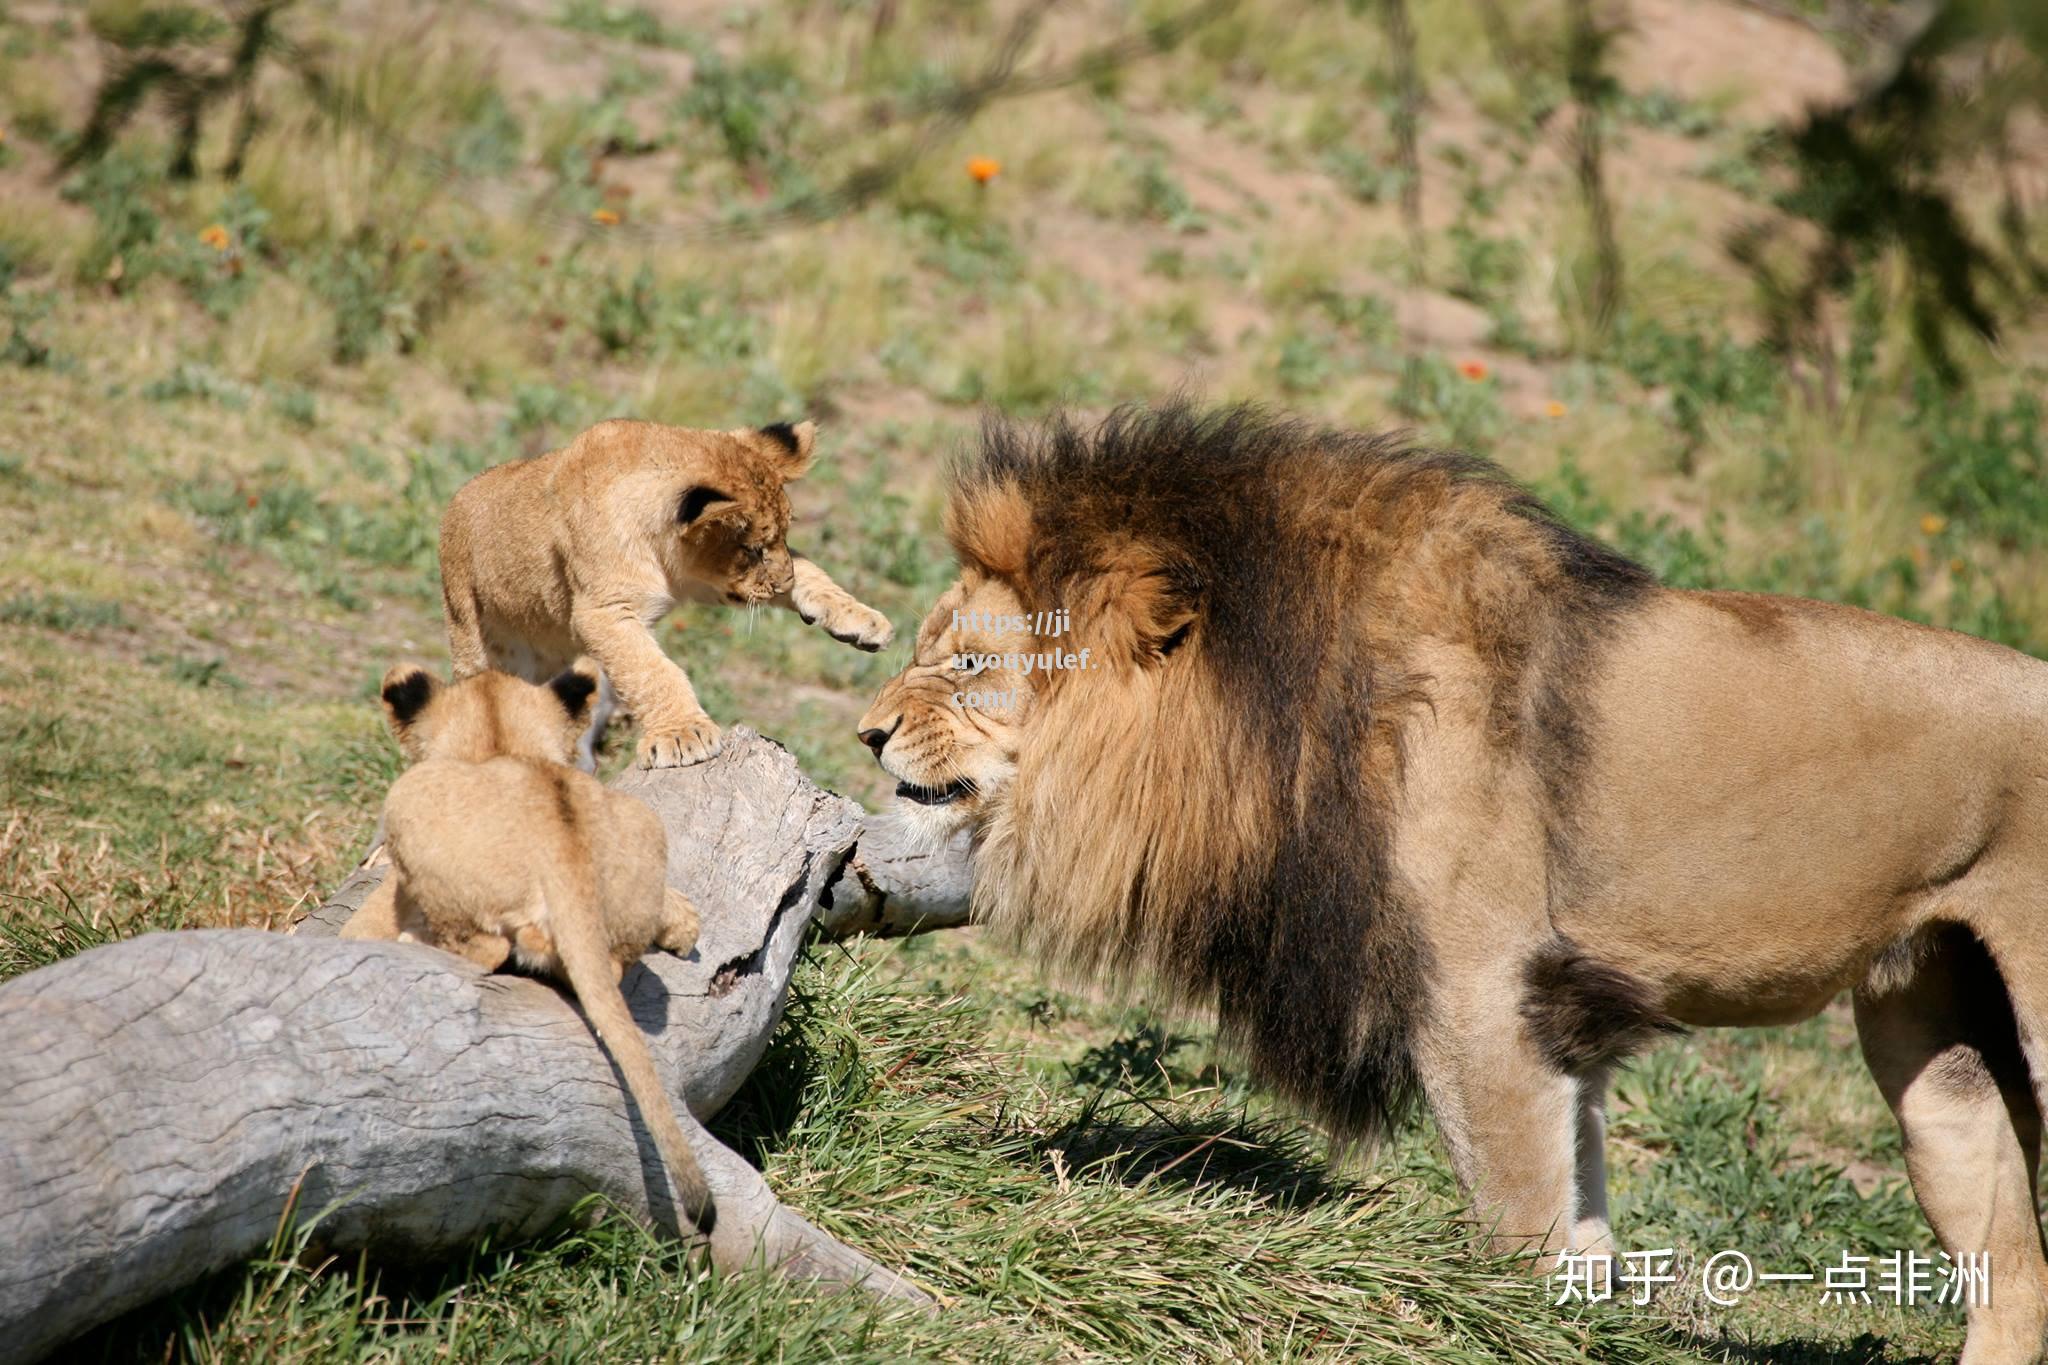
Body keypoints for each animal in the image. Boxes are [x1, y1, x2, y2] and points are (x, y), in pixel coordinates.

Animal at [856, 401, 2048, 1358]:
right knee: (2014, 1277)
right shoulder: (1555, 1013)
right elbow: (1579, 1219)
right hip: (1934, 1054)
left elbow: (1522, 1223)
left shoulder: (1483, 995)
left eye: (969, 665)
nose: (866, 731)